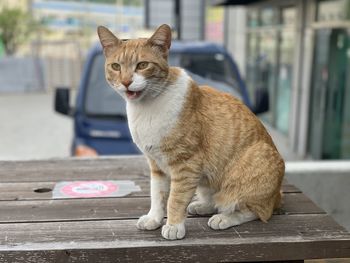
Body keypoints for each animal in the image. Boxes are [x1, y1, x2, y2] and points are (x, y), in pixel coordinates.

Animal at [98, 23, 284, 240]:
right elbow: (157, 195)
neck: (146, 108)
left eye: (142, 65)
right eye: (116, 66)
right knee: (215, 200)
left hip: (257, 164)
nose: (126, 81)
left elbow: (175, 199)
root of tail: (276, 195)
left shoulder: (186, 165)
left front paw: (173, 225)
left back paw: (224, 218)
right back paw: (202, 206)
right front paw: (154, 218)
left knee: (255, 210)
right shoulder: (156, 165)